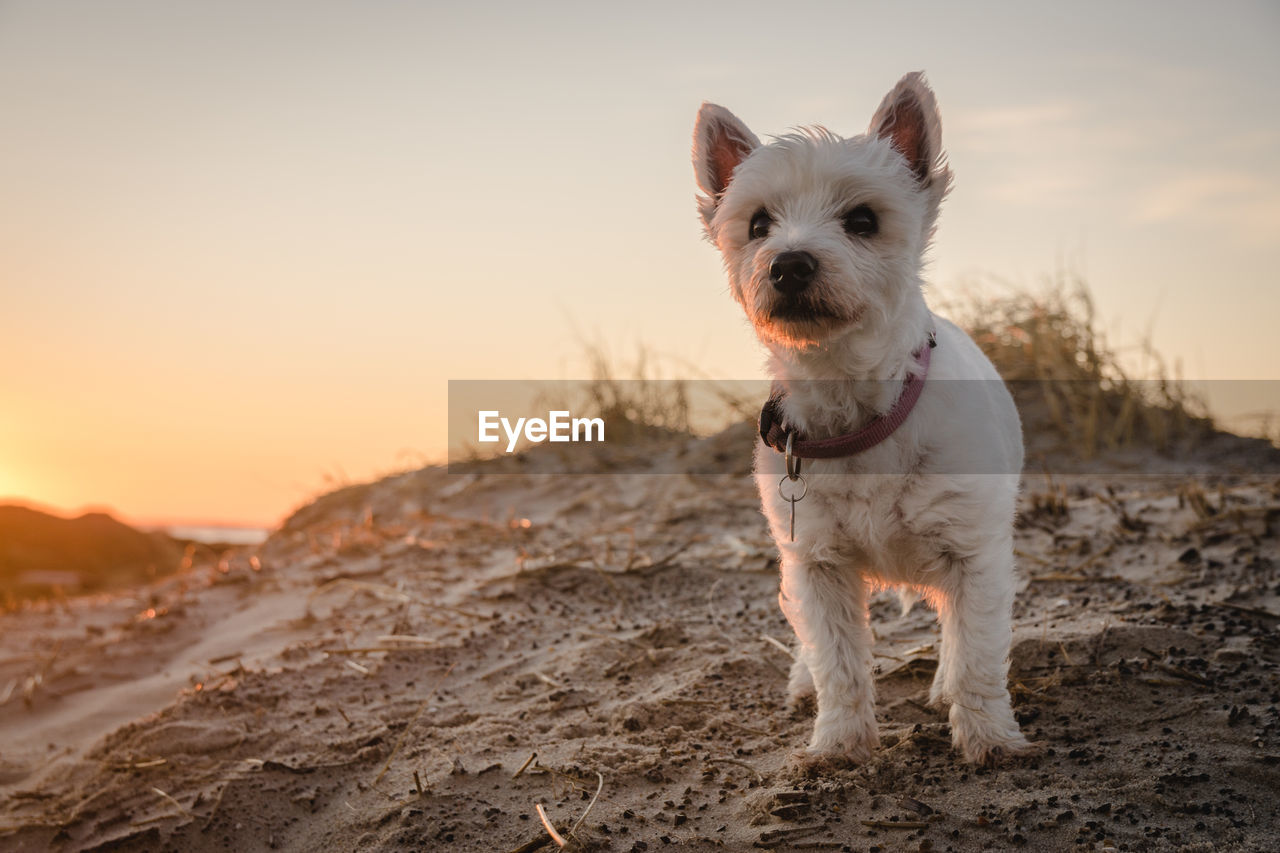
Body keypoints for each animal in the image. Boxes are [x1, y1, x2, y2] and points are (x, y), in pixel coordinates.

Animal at [691, 73, 1029, 763]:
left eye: (863, 221)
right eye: (759, 224)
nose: (789, 263)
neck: (857, 406)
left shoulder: (973, 556)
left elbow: (978, 657)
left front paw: (987, 737)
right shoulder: (818, 564)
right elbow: (839, 662)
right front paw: (841, 743)